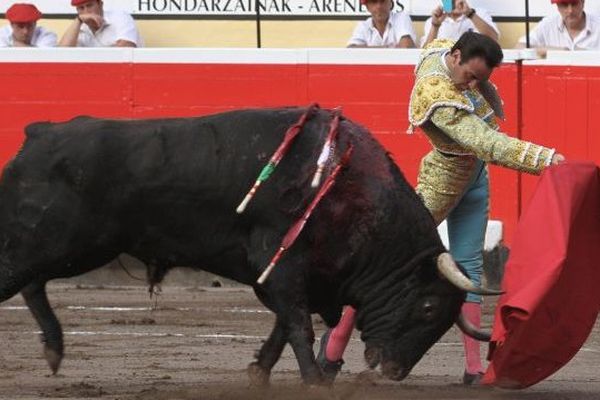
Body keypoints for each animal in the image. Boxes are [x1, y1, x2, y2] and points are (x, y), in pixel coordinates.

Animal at [0, 106, 494, 384]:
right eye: (428, 308)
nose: (393, 371)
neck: (349, 188)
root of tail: (40, 132)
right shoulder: (283, 266)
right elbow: (298, 325)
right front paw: (315, 381)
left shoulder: (298, 273)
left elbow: (284, 325)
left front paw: (261, 371)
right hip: (57, 243)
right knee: (19, 279)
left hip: (71, 248)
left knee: (34, 285)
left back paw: (54, 350)